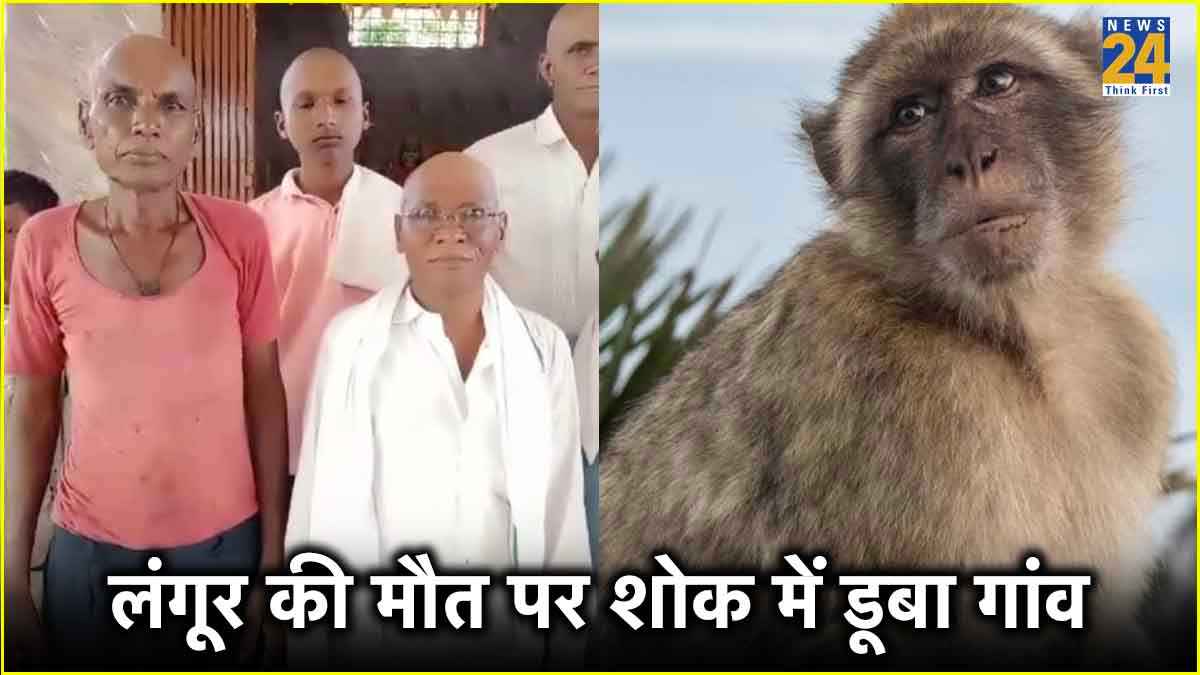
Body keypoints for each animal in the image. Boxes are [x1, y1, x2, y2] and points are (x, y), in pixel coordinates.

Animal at [598, 5, 1178, 668]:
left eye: (996, 81)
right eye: (910, 116)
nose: (970, 160)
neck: (1010, 335)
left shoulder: (1133, 353)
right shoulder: (906, 397)